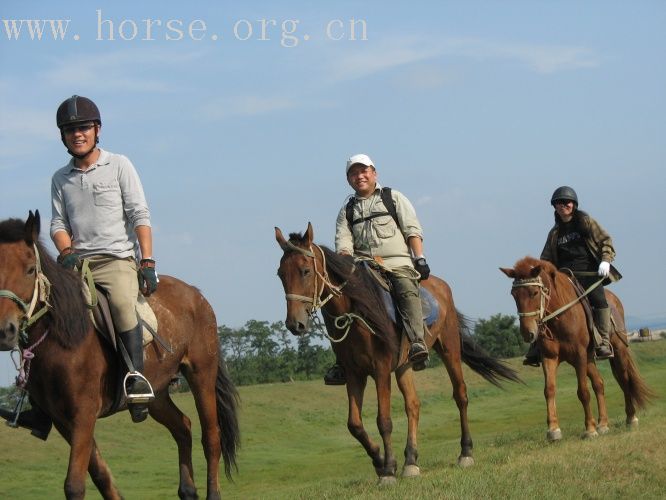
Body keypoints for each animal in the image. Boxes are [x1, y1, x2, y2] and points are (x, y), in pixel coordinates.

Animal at [0, 212, 239, 500]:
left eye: (29, 270)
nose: (5, 330)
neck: (63, 337)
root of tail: (197, 295)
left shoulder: (83, 415)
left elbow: (75, 484)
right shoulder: (61, 420)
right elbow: (101, 475)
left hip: (201, 373)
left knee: (211, 436)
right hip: (157, 393)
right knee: (183, 427)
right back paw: (187, 490)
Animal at [274, 225, 520, 482]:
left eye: (305, 271)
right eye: (281, 274)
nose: (294, 324)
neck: (355, 312)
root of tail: (441, 287)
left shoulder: (381, 369)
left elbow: (384, 420)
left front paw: (389, 469)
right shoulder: (354, 373)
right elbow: (355, 424)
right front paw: (379, 461)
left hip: (449, 348)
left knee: (460, 395)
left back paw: (465, 453)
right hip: (404, 365)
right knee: (413, 405)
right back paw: (411, 461)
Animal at [500, 256, 652, 440]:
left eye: (534, 293)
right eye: (514, 295)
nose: (527, 333)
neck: (560, 318)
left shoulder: (579, 356)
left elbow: (583, 392)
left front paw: (590, 430)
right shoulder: (549, 358)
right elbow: (549, 390)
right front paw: (553, 430)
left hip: (618, 351)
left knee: (624, 380)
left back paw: (631, 418)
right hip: (590, 359)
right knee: (599, 384)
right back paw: (603, 424)